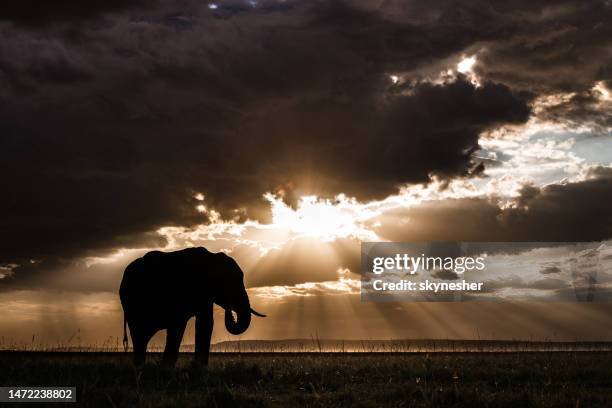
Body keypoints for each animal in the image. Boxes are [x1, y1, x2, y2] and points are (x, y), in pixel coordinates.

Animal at [118, 247, 264, 364]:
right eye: (231, 283)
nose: (230, 310)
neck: (212, 258)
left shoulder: (205, 296)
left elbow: (205, 324)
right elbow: (191, 324)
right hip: (132, 303)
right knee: (140, 334)